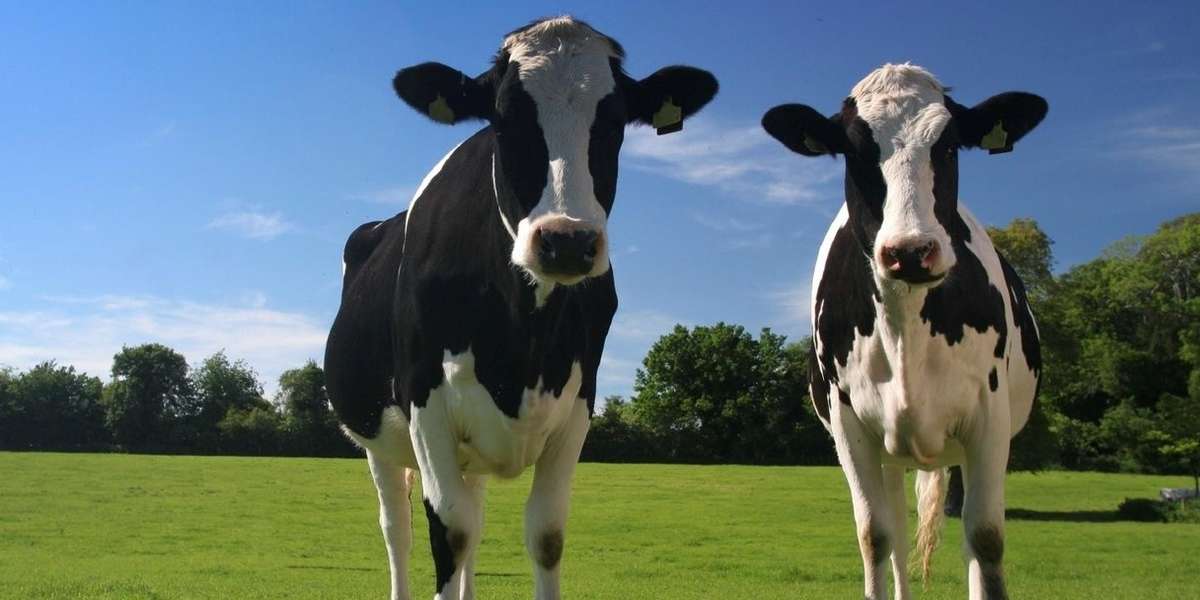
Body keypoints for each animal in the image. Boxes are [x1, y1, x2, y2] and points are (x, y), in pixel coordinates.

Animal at [324, 17, 717, 600]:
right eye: (504, 119)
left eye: (614, 122)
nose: (567, 241)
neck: (523, 341)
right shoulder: (423, 401)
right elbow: (449, 530)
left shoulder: (578, 403)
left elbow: (545, 533)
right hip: (377, 436)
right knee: (399, 528)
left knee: (476, 516)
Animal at [761, 64, 1046, 600]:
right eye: (853, 149)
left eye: (950, 147)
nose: (910, 251)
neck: (907, 332)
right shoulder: (849, 422)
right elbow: (875, 535)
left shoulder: (990, 416)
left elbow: (987, 539)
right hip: (892, 453)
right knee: (894, 532)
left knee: (970, 541)